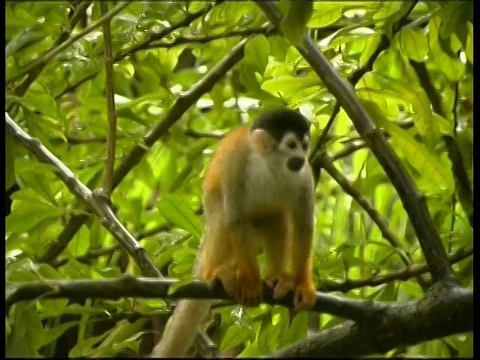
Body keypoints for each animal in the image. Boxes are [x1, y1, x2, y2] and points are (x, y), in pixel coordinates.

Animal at [151, 108, 316, 356]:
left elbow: (304, 225)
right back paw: (216, 273)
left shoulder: (305, 176)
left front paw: (301, 284)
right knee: (222, 215)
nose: (301, 157)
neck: (270, 164)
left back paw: (277, 277)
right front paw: (250, 283)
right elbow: (235, 221)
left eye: (304, 146)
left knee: (275, 216)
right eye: (291, 145)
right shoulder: (235, 163)